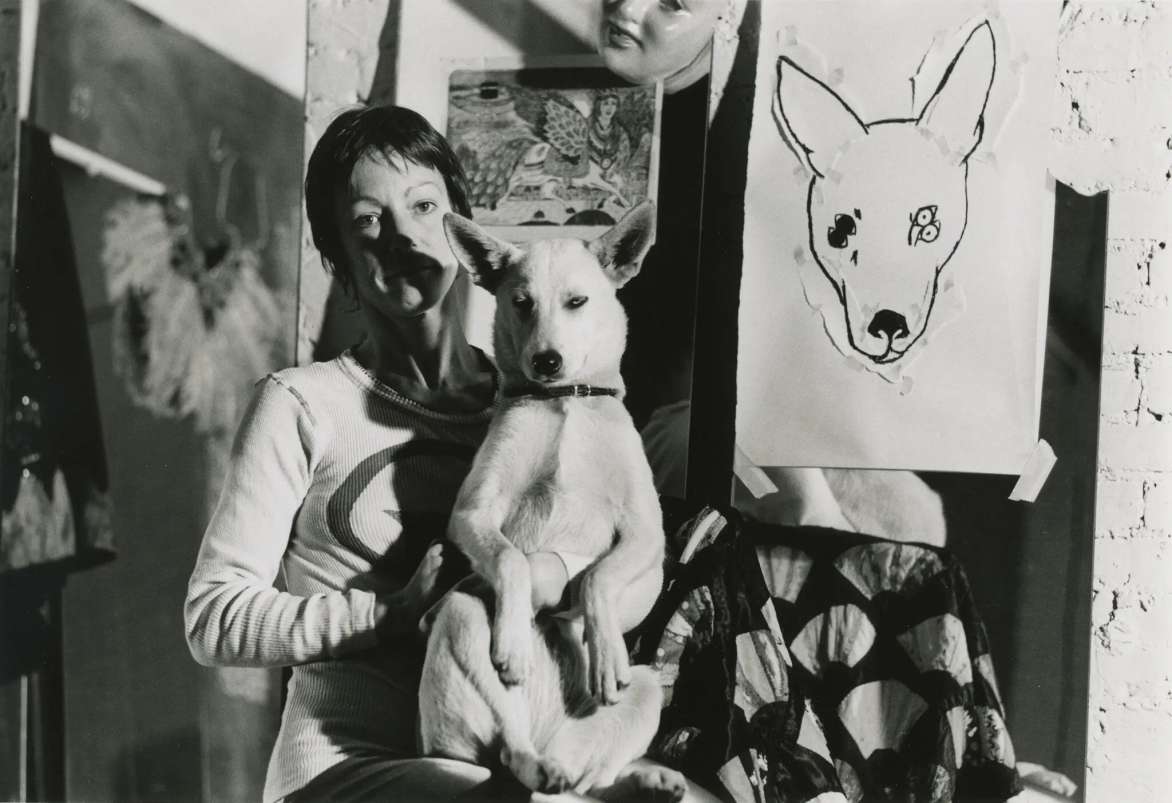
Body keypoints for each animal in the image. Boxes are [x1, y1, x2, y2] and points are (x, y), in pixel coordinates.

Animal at [419, 200, 684, 797]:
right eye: (522, 304)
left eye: (577, 302)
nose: (547, 361)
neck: (564, 402)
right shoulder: (473, 513)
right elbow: (512, 560)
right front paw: (517, 635)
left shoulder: (646, 533)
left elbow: (599, 577)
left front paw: (605, 652)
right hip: (463, 618)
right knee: (508, 744)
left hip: (646, 692)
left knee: (588, 779)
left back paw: (644, 780)